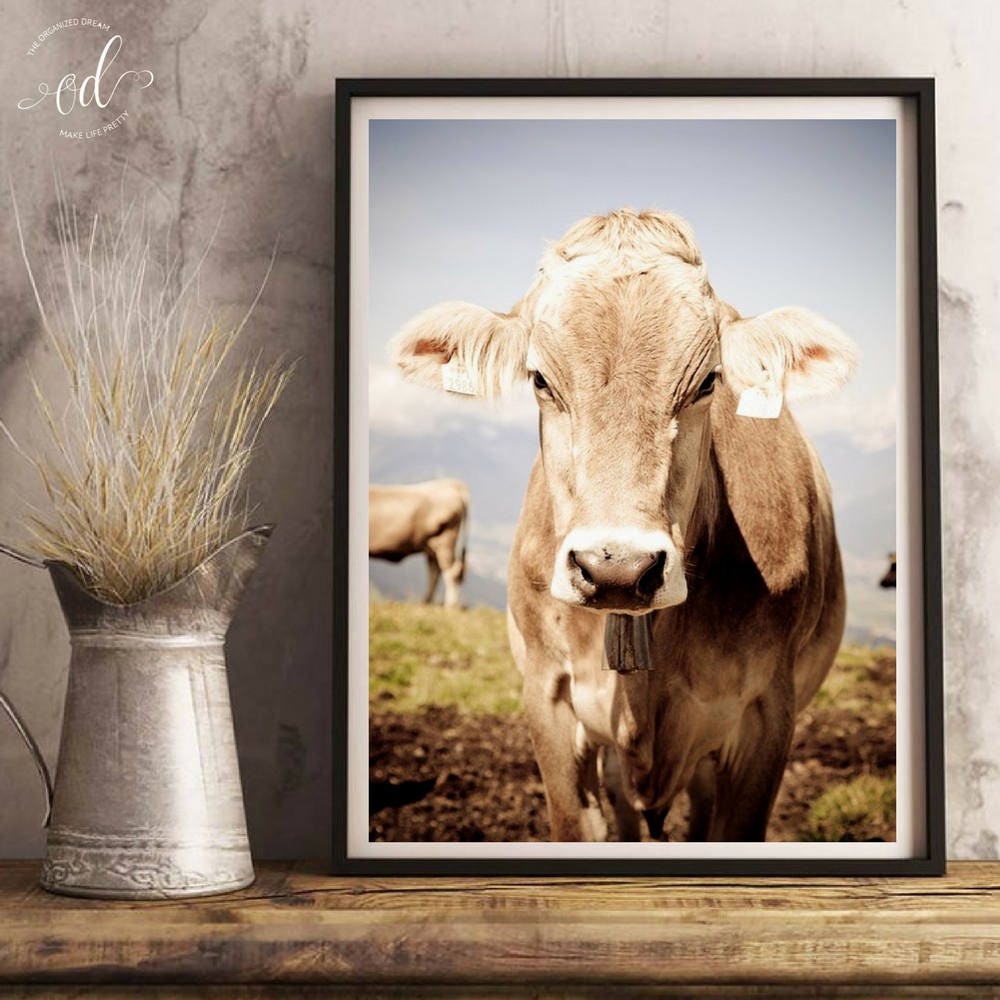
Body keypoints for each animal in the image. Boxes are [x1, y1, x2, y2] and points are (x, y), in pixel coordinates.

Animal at [369, 479, 470, 608]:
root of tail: (451, 482)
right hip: (432, 545)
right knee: (435, 571)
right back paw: (425, 602)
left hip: (445, 540)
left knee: (451, 571)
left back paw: (450, 606)